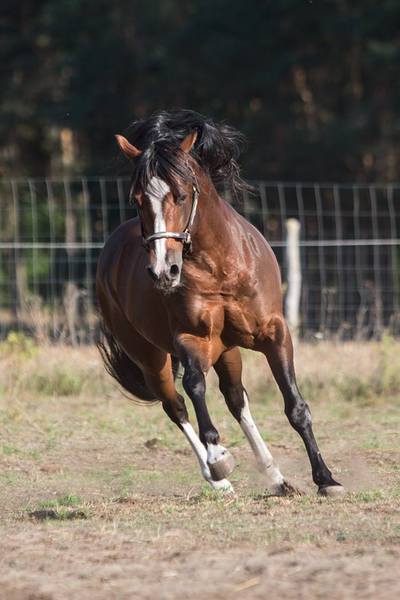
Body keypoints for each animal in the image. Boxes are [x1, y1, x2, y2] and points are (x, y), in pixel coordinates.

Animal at [96, 109, 344, 497]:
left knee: (235, 397)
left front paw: (326, 479)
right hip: (152, 358)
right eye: (137, 200)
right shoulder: (192, 339)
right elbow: (194, 387)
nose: (163, 271)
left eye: (181, 196)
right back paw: (219, 479)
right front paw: (219, 456)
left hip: (227, 351)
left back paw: (276, 478)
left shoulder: (273, 333)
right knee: (176, 406)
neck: (221, 268)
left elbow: (295, 407)